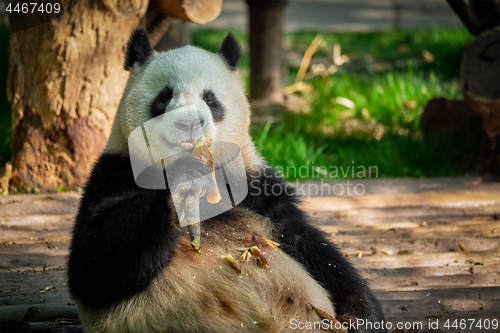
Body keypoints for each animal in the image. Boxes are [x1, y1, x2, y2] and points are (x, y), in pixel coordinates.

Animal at [67, 29, 386, 332]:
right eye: (163, 96)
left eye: (210, 99)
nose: (189, 123)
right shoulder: (114, 172)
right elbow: (93, 265)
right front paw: (184, 182)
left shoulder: (254, 185)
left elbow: (309, 245)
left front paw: (363, 317)